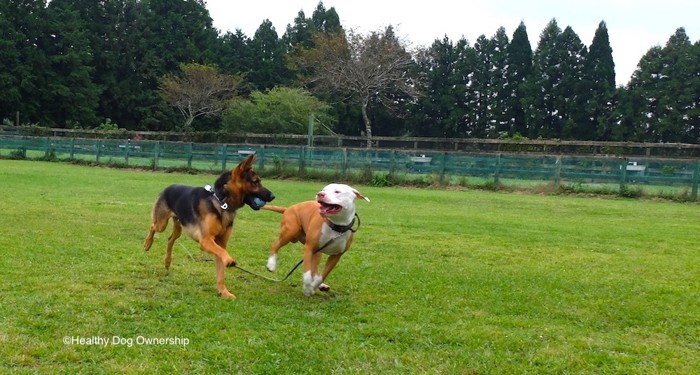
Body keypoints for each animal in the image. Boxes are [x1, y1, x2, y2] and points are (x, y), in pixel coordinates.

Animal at [142, 153, 274, 300]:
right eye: (256, 182)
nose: (273, 196)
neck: (221, 202)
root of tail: (168, 187)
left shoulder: (219, 244)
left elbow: (221, 270)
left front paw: (223, 292)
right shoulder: (206, 241)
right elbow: (223, 253)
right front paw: (229, 260)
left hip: (179, 227)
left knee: (170, 239)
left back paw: (167, 262)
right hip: (162, 223)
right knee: (153, 226)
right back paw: (147, 244)